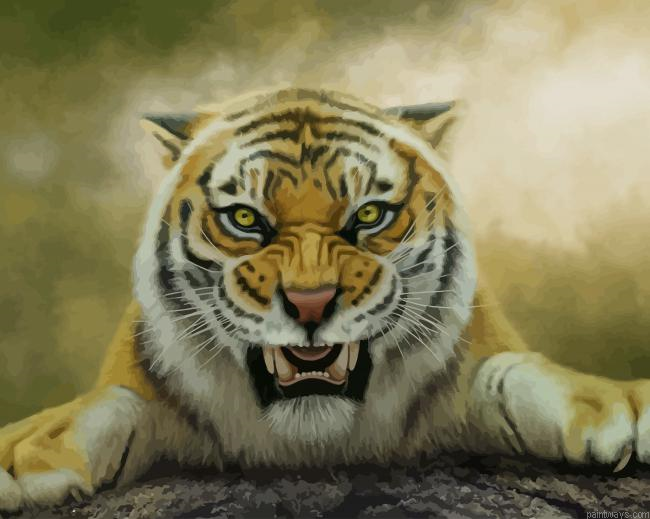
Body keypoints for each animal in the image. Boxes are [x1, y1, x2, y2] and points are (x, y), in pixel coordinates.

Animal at [2, 87, 650, 512]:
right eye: (245, 219)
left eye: (369, 215)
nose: (310, 303)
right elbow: (109, 402)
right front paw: (19, 458)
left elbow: (514, 372)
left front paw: (623, 409)